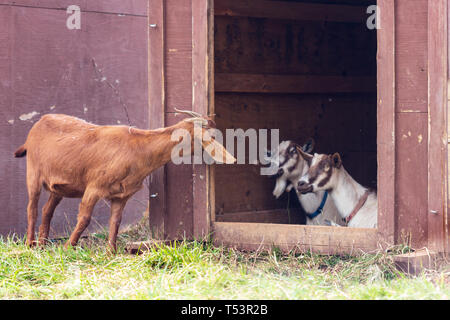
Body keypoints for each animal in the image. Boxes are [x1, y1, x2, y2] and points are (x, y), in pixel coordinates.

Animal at [13, 113, 236, 252]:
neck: (137, 149)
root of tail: (40, 122)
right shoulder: (94, 187)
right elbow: (84, 218)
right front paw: (69, 247)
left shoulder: (121, 195)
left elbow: (116, 222)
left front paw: (111, 252)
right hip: (33, 172)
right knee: (32, 208)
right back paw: (30, 244)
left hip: (57, 188)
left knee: (47, 210)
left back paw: (43, 244)